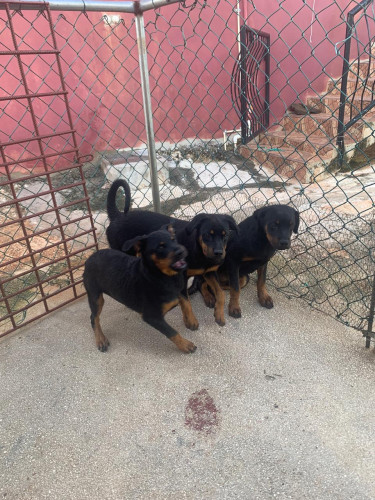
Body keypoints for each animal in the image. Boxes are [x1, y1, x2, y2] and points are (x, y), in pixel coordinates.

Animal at [83, 227, 198, 356]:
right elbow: (172, 332)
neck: (163, 276)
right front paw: (186, 345)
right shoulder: (152, 317)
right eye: (160, 247)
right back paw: (101, 340)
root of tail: (90, 258)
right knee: (94, 318)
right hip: (95, 296)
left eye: (174, 239)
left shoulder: (181, 290)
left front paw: (191, 321)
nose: (181, 251)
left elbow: (187, 303)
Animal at [105, 180, 238, 328]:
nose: (219, 254)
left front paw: (219, 314)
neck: (198, 251)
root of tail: (117, 216)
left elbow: (220, 294)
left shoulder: (209, 272)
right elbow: (185, 301)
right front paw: (190, 321)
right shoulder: (181, 276)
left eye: (225, 236)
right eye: (207, 235)